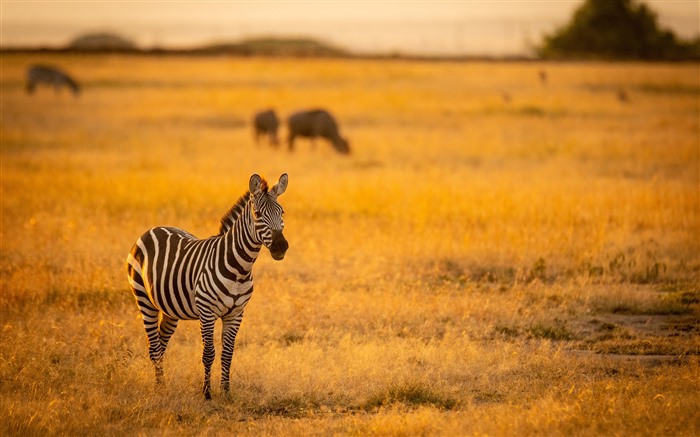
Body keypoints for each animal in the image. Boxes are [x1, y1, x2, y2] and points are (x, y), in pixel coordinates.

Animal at [126, 173, 290, 398]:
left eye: (282, 212)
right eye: (257, 214)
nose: (280, 247)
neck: (240, 269)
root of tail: (154, 229)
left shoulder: (236, 313)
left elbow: (228, 353)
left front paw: (226, 392)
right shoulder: (207, 311)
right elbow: (209, 353)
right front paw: (207, 393)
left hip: (170, 309)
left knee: (161, 344)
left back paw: (163, 385)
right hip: (144, 300)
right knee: (154, 348)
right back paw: (159, 388)